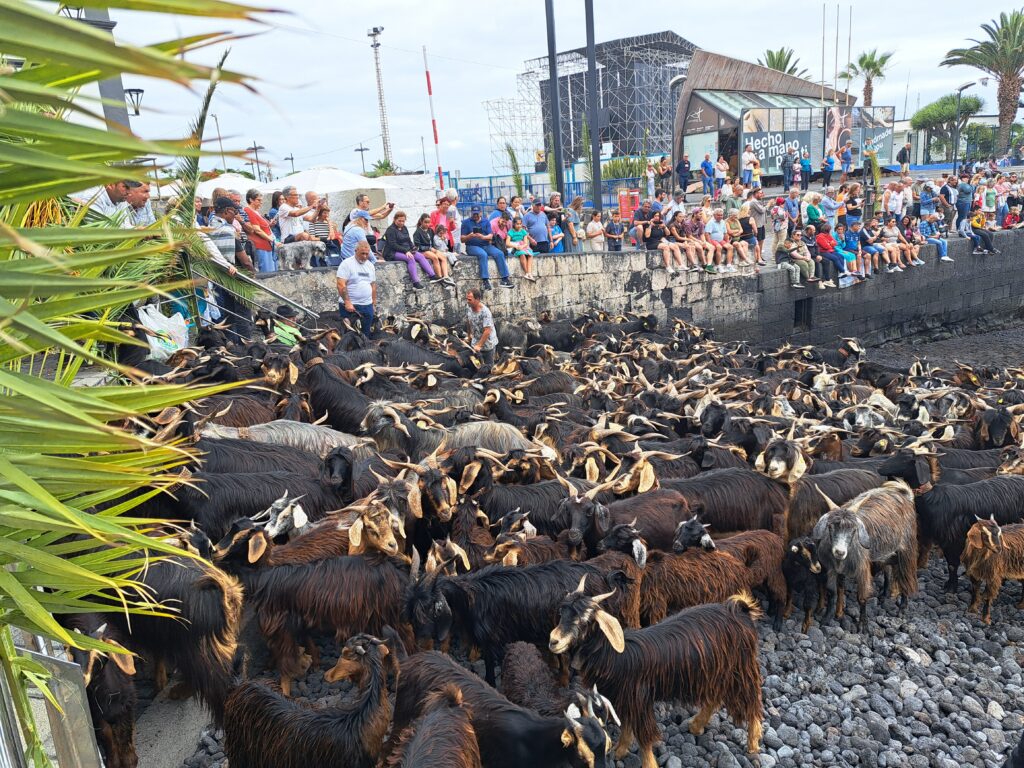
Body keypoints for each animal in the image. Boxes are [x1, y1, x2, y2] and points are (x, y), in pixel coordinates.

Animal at [548, 580, 763, 768]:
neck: (614, 656)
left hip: (740, 669)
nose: (553, 641)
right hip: (714, 671)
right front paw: (620, 750)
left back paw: (753, 744)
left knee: (752, 702)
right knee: (714, 697)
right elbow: (626, 726)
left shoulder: (638, 699)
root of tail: (741, 610)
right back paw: (696, 725)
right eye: (561, 612)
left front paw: (648, 763)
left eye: (585, 620)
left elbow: (644, 737)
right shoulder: (624, 699)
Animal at [812, 482, 918, 632]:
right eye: (830, 527)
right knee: (888, 569)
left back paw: (902, 608)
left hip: (907, 549)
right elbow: (832, 592)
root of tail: (905, 496)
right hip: (886, 552)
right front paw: (826, 619)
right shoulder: (831, 568)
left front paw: (863, 626)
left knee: (906, 576)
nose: (839, 552)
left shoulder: (862, 568)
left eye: (854, 530)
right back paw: (884, 594)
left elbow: (862, 598)